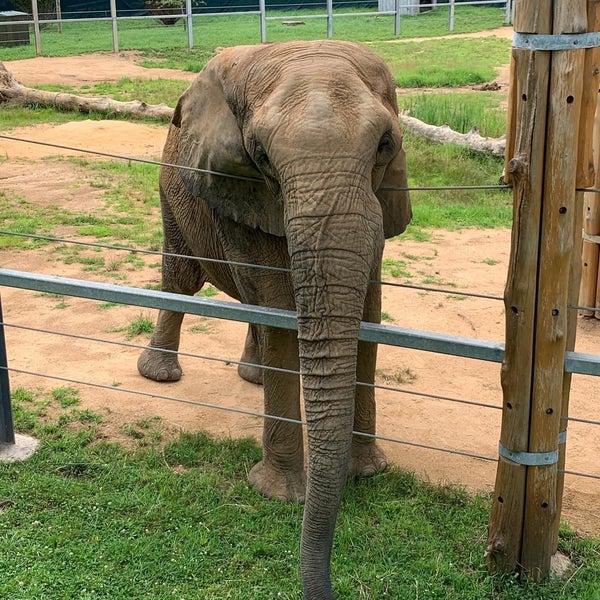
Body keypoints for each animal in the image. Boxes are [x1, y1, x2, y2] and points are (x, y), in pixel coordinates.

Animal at [139, 39, 412, 596]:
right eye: (260, 156)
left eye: (385, 144)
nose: (329, 587)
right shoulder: (241, 189)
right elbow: (284, 319)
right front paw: (281, 495)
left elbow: (367, 320)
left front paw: (368, 473)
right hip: (172, 187)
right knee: (180, 279)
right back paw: (161, 375)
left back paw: (254, 376)